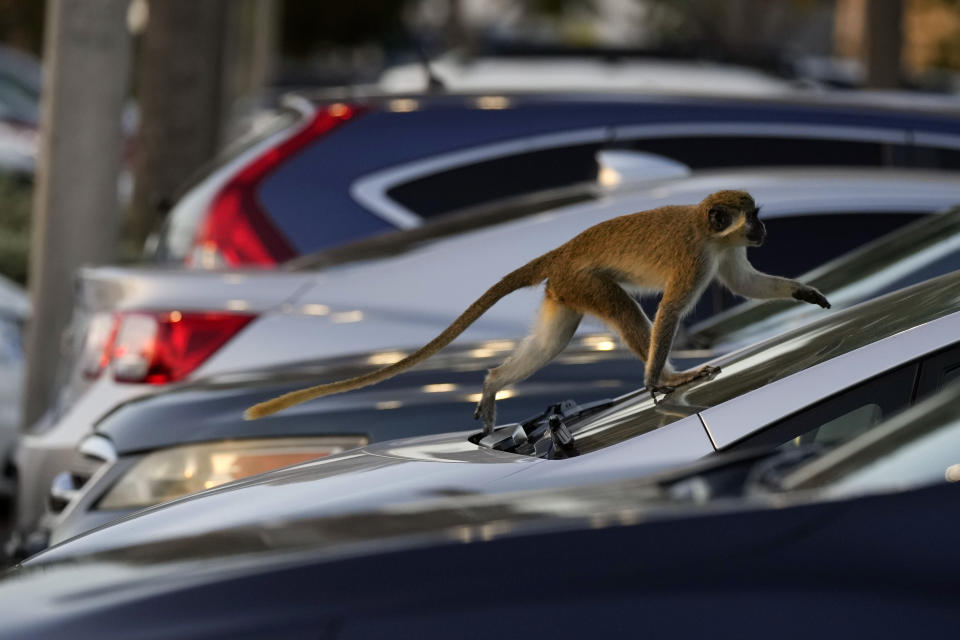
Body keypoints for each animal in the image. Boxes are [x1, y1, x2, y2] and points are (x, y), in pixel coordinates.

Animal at [244, 188, 828, 432]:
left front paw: (804, 293)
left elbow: (746, 283)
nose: (763, 230)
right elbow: (669, 310)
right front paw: (660, 381)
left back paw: (492, 381)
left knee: (551, 341)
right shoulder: (695, 257)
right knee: (629, 314)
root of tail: (563, 250)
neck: (708, 230)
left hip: (563, 292)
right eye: (753, 217)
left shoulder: (724, 254)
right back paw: (667, 375)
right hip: (583, 281)